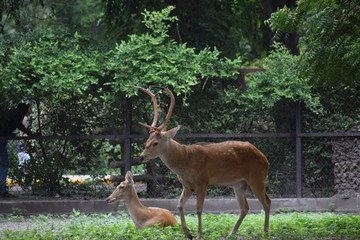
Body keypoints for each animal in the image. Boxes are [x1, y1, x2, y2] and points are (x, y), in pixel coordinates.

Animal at [132, 85, 270, 239]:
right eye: (147, 141)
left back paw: (265, 232)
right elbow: (179, 205)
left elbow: (198, 209)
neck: (185, 161)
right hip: (239, 184)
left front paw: (198, 234)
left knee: (266, 202)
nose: (141, 157)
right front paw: (188, 233)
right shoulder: (187, 186)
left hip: (256, 178)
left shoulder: (202, 182)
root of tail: (265, 158)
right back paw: (231, 234)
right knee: (245, 207)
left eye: (155, 143)